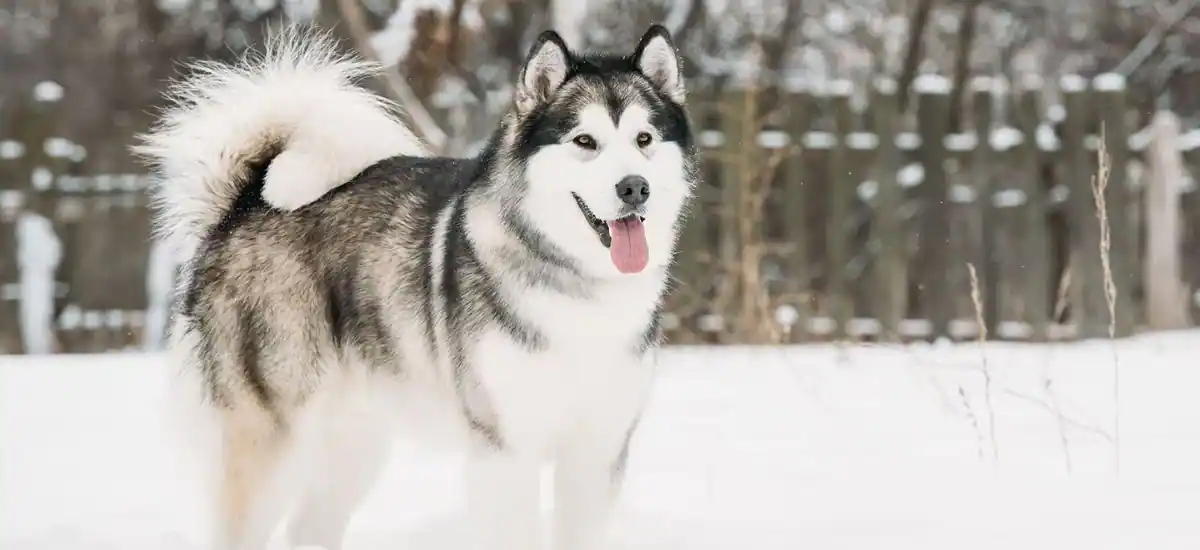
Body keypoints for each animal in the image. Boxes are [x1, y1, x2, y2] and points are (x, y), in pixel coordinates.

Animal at [133, 23, 696, 550]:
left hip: (357, 440)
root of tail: (245, 206)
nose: (634, 187)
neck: (579, 287)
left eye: (644, 139)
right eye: (584, 142)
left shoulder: (597, 453)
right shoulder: (504, 451)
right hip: (273, 439)